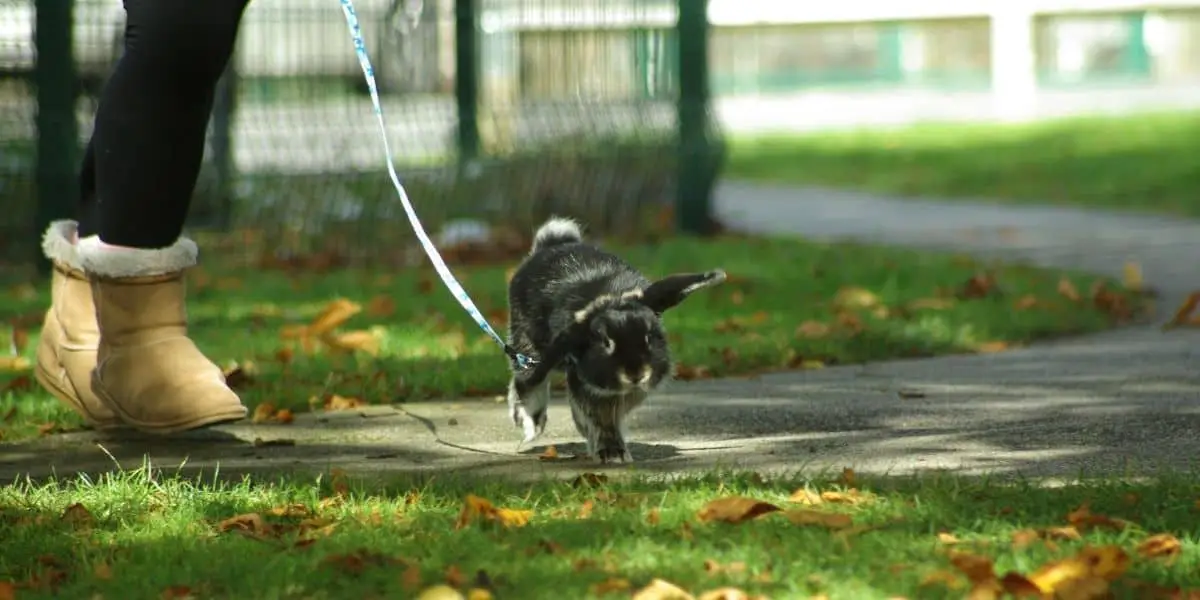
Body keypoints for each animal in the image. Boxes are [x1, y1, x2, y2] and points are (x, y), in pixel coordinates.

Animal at [504, 217, 724, 463]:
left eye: (649, 336)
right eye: (606, 342)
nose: (636, 374)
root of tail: (551, 244)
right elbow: (601, 417)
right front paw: (611, 453)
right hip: (526, 344)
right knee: (526, 383)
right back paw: (530, 426)